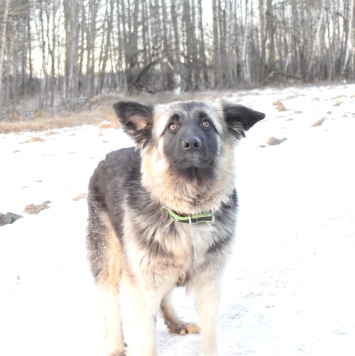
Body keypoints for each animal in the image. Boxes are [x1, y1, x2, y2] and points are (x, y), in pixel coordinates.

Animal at [85, 98, 264, 356]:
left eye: (206, 123)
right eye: (172, 126)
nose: (192, 143)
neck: (187, 213)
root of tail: (108, 156)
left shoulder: (208, 284)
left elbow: (210, 336)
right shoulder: (142, 286)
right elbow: (146, 342)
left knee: (164, 297)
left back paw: (176, 323)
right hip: (110, 258)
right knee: (111, 304)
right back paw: (116, 346)